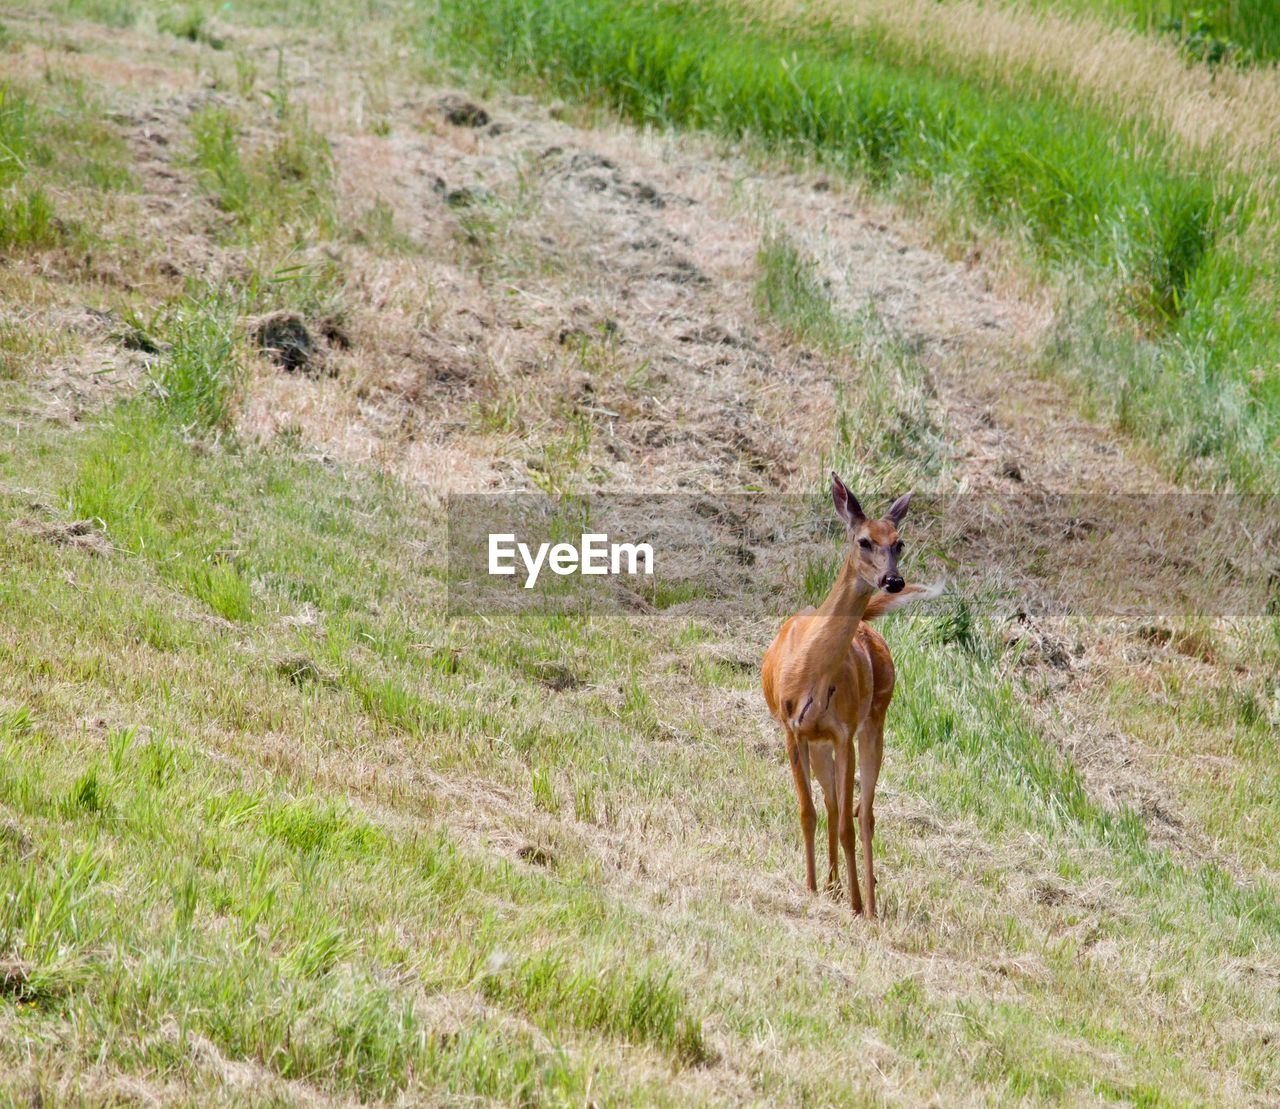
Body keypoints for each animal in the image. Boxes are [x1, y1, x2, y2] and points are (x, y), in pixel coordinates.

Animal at [757, 476, 942, 916]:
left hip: (874, 720)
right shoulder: (793, 729)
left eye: (899, 542)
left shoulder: (844, 732)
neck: (810, 670)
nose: (893, 581)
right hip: (821, 743)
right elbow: (808, 812)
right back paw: (833, 885)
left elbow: (846, 824)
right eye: (863, 540)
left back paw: (868, 903)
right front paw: (811, 888)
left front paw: (857, 906)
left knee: (864, 814)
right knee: (833, 805)